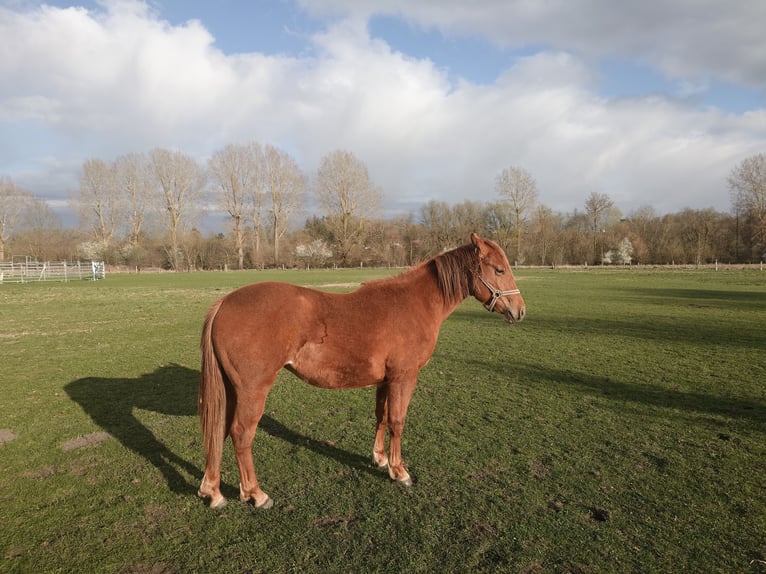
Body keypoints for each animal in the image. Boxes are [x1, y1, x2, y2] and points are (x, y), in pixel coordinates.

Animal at [197, 232, 526, 509]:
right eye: (499, 270)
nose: (520, 310)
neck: (415, 303)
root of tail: (224, 302)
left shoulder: (385, 380)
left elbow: (381, 416)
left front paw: (380, 459)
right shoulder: (404, 377)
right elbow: (397, 421)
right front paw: (399, 471)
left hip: (231, 390)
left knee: (219, 430)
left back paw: (213, 492)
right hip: (253, 391)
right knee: (241, 434)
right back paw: (256, 494)